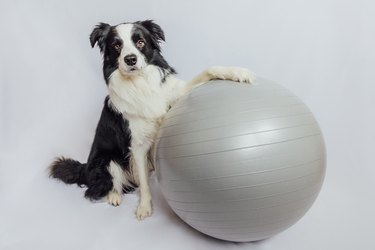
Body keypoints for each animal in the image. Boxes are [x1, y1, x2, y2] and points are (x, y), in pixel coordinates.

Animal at [50, 20, 256, 219]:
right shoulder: (138, 145)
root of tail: (84, 169)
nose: (130, 59)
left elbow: (209, 70)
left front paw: (238, 72)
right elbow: (143, 182)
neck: (139, 82)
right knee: (100, 188)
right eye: (117, 45)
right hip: (106, 161)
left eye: (140, 42)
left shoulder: (175, 93)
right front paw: (144, 207)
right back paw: (114, 196)